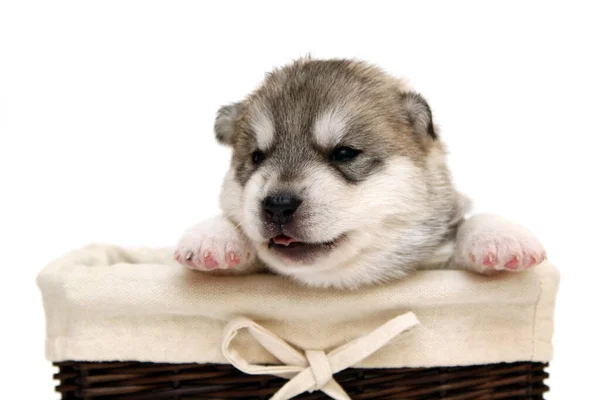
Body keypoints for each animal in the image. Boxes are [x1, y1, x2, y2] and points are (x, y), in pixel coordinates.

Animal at [172, 57, 544, 290]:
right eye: (256, 157)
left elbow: (469, 224)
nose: (278, 204)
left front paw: (498, 237)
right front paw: (214, 236)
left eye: (344, 153)